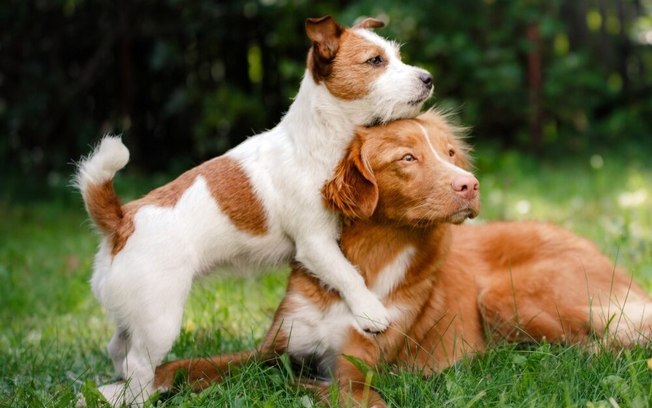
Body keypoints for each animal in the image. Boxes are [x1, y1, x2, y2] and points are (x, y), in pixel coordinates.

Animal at [75, 15, 432, 404]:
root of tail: (121, 221)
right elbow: (346, 273)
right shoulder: (315, 243)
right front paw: (371, 311)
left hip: (134, 314)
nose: (427, 77)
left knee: (117, 347)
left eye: (398, 56)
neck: (317, 140)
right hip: (160, 320)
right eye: (374, 61)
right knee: (138, 364)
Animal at [154, 110, 652, 406]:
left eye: (449, 153)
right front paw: (148, 383)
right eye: (408, 158)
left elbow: (288, 384)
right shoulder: (277, 345)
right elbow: (197, 365)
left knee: (604, 347)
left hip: (504, 296)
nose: (470, 185)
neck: (368, 262)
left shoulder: (354, 378)